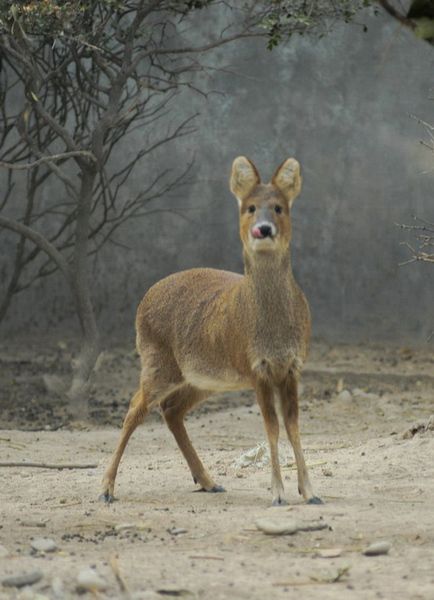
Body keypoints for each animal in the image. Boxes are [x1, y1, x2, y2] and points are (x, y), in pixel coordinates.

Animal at [101, 156, 322, 506]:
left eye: (279, 207)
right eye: (249, 207)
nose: (263, 229)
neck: (272, 332)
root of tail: (144, 300)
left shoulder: (292, 366)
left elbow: (292, 426)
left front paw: (310, 492)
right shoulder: (257, 367)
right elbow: (271, 427)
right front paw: (277, 493)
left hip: (203, 377)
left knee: (171, 410)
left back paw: (208, 481)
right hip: (157, 361)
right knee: (135, 408)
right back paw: (106, 488)